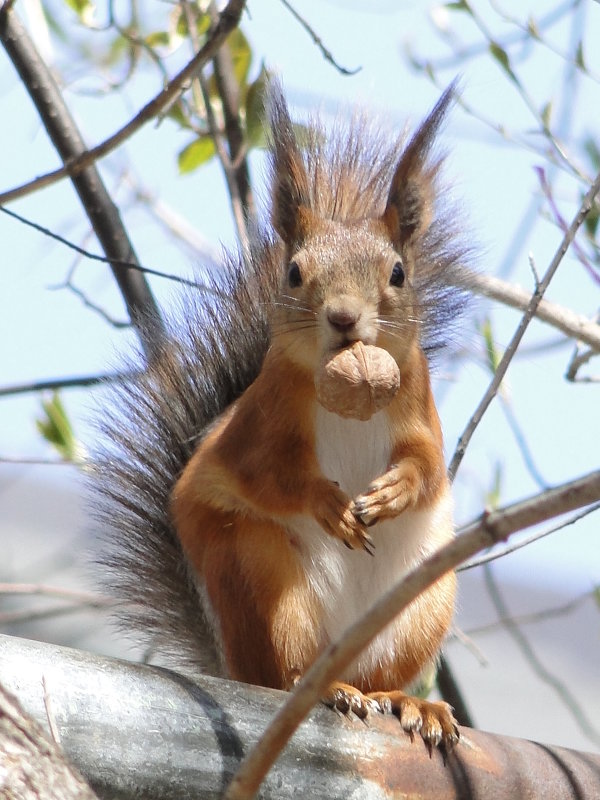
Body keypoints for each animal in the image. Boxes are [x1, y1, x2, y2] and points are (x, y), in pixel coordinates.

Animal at [94, 81, 468, 756]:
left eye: (398, 273)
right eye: (294, 272)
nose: (344, 317)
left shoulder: (416, 405)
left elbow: (427, 467)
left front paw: (395, 490)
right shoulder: (261, 420)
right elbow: (267, 475)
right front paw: (329, 503)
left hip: (424, 601)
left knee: (379, 679)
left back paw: (407, 702)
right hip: (262, 579)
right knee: (287, 670)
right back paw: (320, 689)